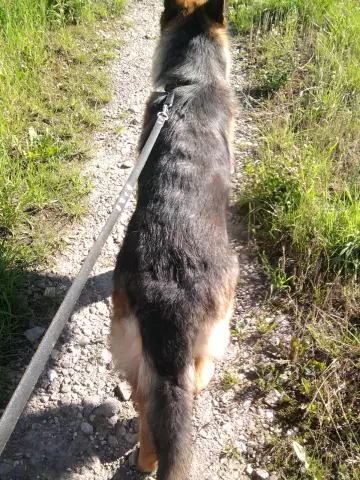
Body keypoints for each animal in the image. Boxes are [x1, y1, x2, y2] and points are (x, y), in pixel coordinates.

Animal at [111, 1, 238, 478]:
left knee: (149, 411)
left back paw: (147, 461)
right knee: (195, 378)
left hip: (134, 353)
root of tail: (169, 294)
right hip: (216, 325)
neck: (190, 81)